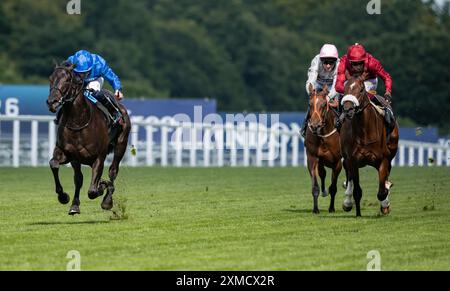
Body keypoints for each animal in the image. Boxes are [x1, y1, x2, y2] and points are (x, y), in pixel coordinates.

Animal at [46, 62, 131, 216]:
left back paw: (107, 198)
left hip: (121, 144)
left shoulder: (99, 157)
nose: (52, 101)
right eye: (51, 78)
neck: (78, 121)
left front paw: (102, 188)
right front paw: (64, 197)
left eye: (67, 80)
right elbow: (55, 164)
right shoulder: (68, 154)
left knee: (113, 171)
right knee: (79, 178)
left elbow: (92, 191)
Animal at [304, 85, 342, 214]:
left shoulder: (337, 162)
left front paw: (331, 208)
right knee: (323, 173)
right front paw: (315, 209)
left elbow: (334, 187)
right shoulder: (312, 158)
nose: (315, 125)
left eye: (324, 104)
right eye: (310, 104)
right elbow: (315, 186)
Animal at [340, 73, 400, 217]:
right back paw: (347, 202)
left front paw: (385, 204)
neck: (365, 133)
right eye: (344, 88)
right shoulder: (353, 160)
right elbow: (357, 191)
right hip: (346, 158)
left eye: (361, 89)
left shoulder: (383, 160)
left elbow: (382, 191)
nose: (348, 109)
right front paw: (357, 212)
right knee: (349, 177)